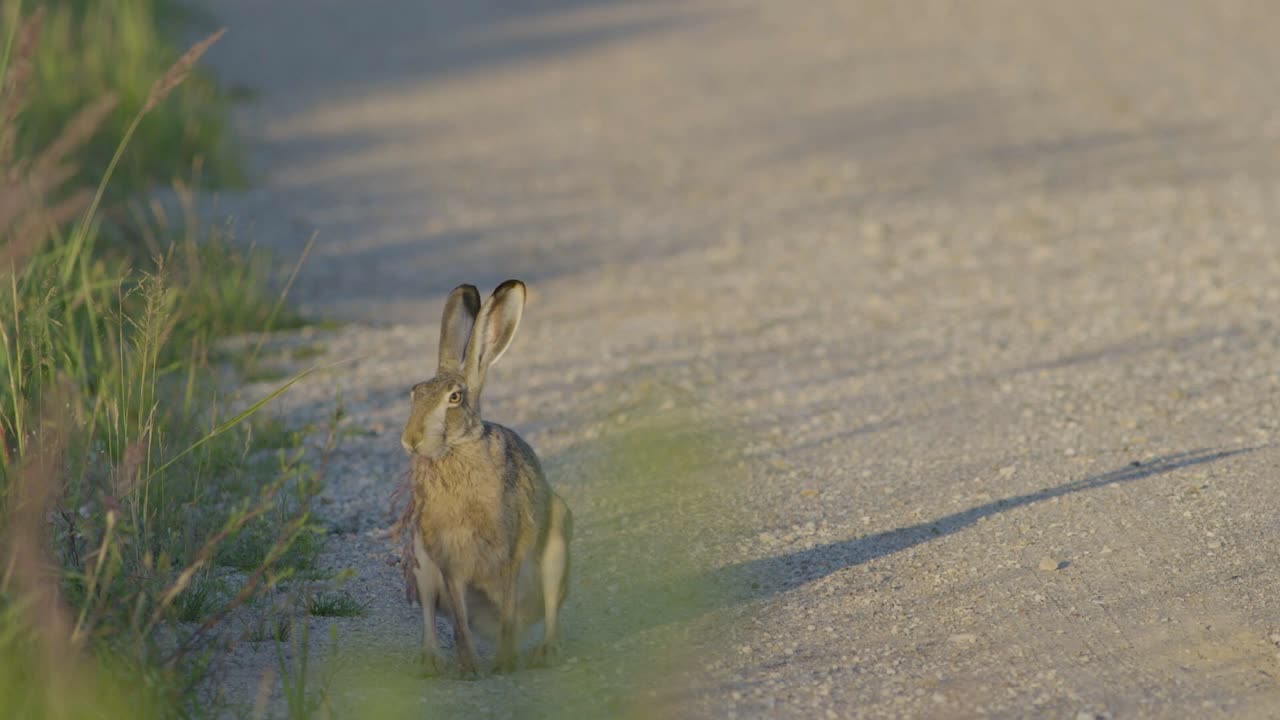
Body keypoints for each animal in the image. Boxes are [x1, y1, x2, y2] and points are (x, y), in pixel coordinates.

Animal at [401, 280, 572, 676]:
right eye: (415, 393)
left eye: (454, 398)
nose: (410, 439)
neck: (456, 450)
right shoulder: (448, 563)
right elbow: (460, 622)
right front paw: (470, 668)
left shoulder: (507, 551)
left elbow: (507, 608)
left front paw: (504, 664)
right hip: (420, 562)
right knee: (430, 615)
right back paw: (430, 660)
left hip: (557, 546)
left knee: (550, 609)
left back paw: (545, 652)